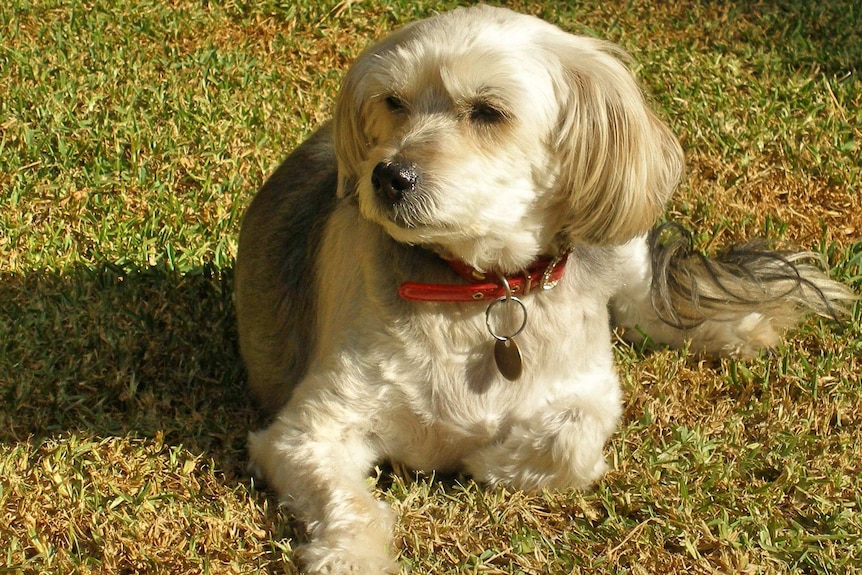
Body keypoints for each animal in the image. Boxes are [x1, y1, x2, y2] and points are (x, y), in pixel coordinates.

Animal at [235, 5, 856, 575]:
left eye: (488, 111)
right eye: (393, 102)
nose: (387, 176)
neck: (480, 289)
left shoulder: (593, 390)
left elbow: (571, 444)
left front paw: (488, 459)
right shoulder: (304, 433)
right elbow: (351, 505)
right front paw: (353, 557)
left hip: (619, 250)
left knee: (652, 307)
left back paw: (736, 327)